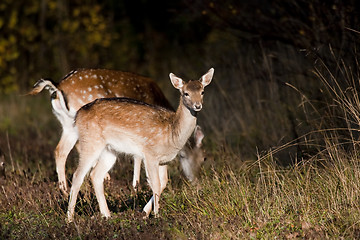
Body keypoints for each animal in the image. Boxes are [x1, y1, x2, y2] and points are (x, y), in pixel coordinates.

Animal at [28, 68, 205, 196]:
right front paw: (137, 187)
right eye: (203, 158)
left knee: (60, 150)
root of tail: (58, 87)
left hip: (66, 123)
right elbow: (138, 157)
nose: (197, 183)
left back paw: (64, 190)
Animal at [66, 67, 214, 221]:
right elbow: (155, 183)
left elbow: (163, 183)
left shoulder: (163, 160)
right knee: (77, 175)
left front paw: (144, 212)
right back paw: (70, 218)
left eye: (202, 91)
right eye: (186, 93)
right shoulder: (150, 154)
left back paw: (107, 215)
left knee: (95, 175)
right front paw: (156, 215)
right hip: (90, 141)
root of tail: (78, 115)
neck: (171, 134)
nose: (198, 106)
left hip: (110, 150)